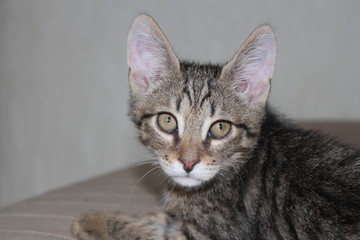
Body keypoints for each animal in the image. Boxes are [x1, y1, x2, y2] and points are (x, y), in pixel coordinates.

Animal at [72, 14, 360, 239]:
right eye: (167, 121)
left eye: (220, 128)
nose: (188, 163)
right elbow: (162, 218)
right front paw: (97, 216)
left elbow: (154, 232)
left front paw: (95, 221)